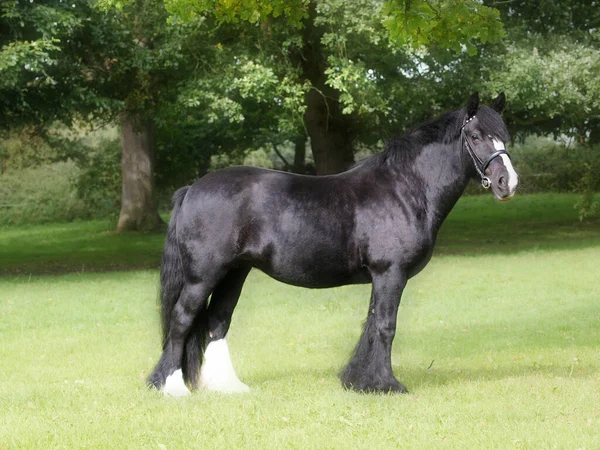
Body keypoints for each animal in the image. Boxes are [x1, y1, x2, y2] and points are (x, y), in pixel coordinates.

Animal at [148, 93, 516, 396]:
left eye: (504, 135)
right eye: (475, 136)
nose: (507, 182)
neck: (405, 188)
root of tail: (192, 189)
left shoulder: (381, 277)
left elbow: (371, 325)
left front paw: (361, 381)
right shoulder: (390, 273)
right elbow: (385, 326)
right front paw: (387, 384)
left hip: (234, 273)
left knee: (216, 323)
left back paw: (226, 386)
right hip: (203, 276)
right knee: (181, 319)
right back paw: (172, 386)